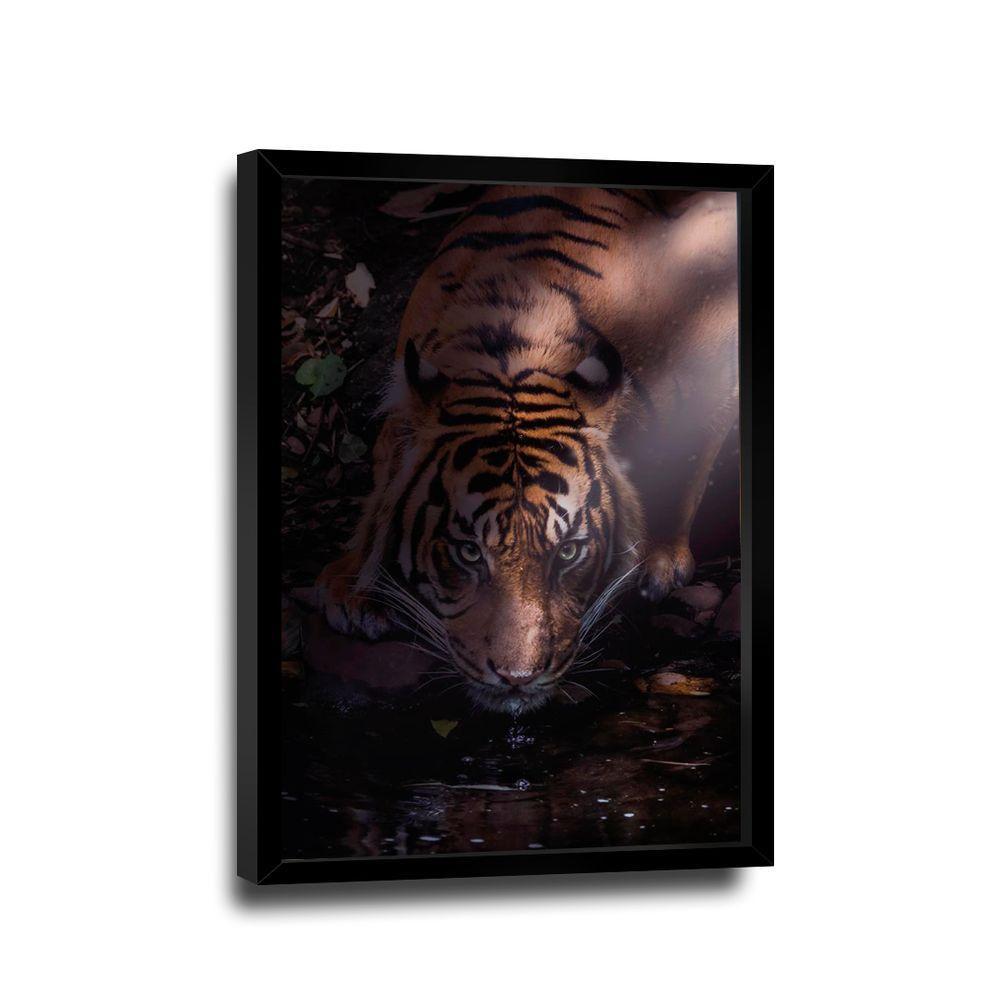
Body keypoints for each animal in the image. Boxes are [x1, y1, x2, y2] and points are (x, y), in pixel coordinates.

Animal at [311, 185, 738, 714]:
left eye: (570, 552)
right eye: (468, 553)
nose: (518, 678)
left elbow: (693, 451)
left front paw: (658, 559)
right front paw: (355, 590)